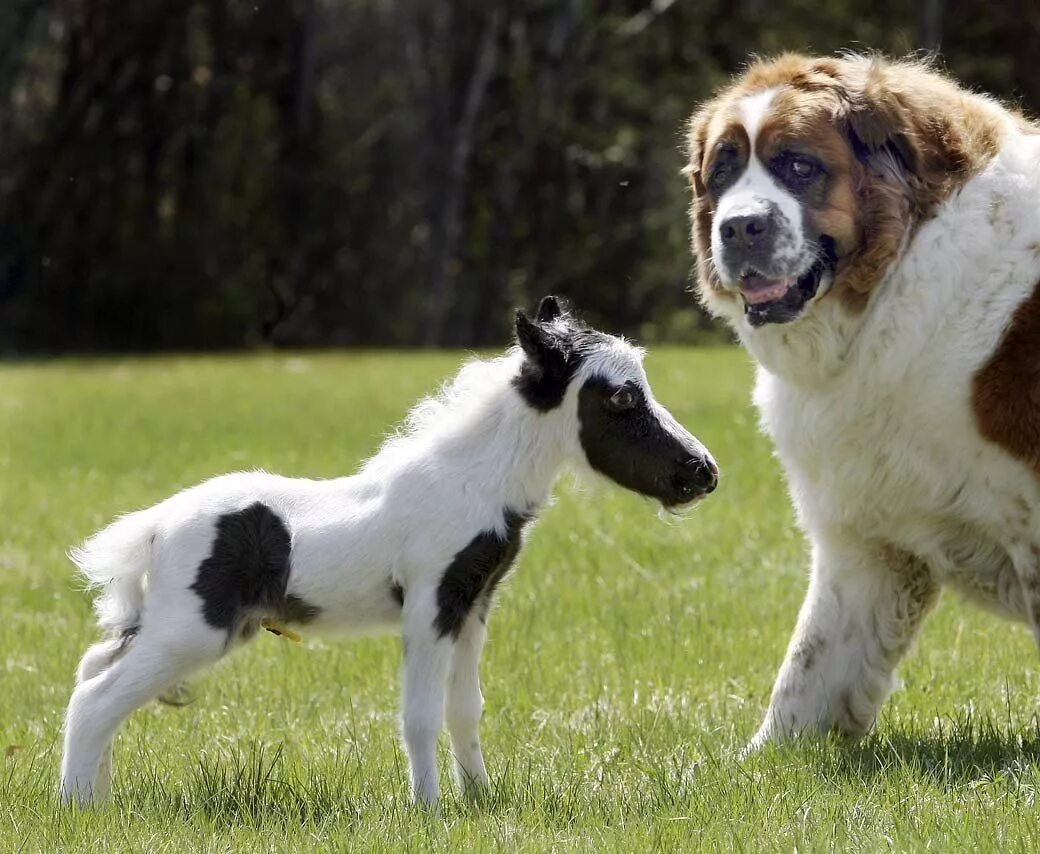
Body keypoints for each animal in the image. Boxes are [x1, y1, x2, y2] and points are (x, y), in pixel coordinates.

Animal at [60, 297, 719, 807]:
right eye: (619, 400)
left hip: (180, 624)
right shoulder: (429, 605)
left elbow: (465, 707)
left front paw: (480, 800)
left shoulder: (473, 606)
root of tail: (153, 526)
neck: (470, 481)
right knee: (95, 699)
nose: (703, 472)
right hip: (194, 630)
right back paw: (79, 810)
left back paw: (98, 796)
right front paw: (428, 810)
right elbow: (420, 715)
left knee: (93, 667)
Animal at [686, 53, 1040, 748]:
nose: (739, 227)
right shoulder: (865, 542)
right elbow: (811, 670)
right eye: (722, 172)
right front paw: (763, 762)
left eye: (800, 166)